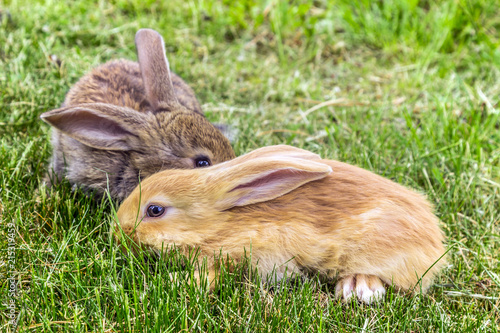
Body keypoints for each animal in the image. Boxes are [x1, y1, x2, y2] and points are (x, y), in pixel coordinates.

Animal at [116, 144, 446, 302]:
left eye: (155, 210)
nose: (119, 232)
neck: (221, 222)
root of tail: (434, 239)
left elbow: (210, 275)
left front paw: (175, 282)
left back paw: (358, 288)